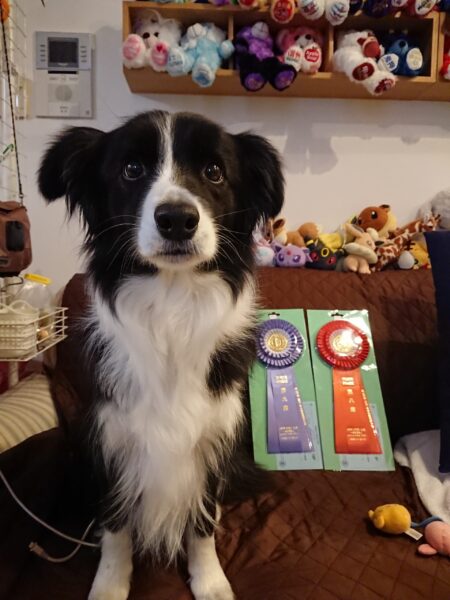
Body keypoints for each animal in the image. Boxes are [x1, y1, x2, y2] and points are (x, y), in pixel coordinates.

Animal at [38, 111, 283, 600]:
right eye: (132, 169)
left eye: (214, 171)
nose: (176, 219)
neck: (172, 303)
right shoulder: (111, 443)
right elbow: (116, 526)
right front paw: (110, 584)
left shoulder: (213, 442)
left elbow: (203, 523)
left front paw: (210, 582)